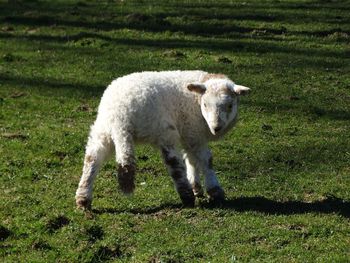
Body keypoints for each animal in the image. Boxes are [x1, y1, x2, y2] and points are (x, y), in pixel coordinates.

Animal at [75, 70, 250, 210]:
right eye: (205, 104)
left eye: (230, 106)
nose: (216, 128)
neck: (194, 99)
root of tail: (119, 114)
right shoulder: (193, 131)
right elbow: (206, 160)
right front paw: (214, 191)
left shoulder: (189, 133)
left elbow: (191, 159)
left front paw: (197, 187)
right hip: (163, 131)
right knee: (173, 163)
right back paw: (186, 196)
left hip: (103, 130)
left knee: (92, 158)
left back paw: (83, 198)